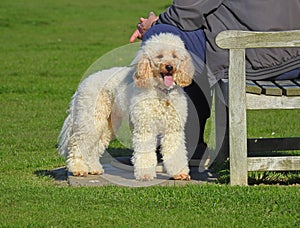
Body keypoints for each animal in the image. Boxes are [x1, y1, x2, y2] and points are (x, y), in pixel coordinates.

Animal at [58, 33, 195, 181]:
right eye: (159, 56)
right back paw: (78, 169)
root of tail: (83, 83)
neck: (162, 92)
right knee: (78, 143)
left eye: (175, 56)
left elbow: (176, 152)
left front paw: (179, 173)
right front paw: (145, 175)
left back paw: (93, 169)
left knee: (94, 147)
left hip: (106, 125)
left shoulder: (173, 129)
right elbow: (145, 153)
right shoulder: (144, 127)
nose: (169, 67)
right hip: (90, 120)